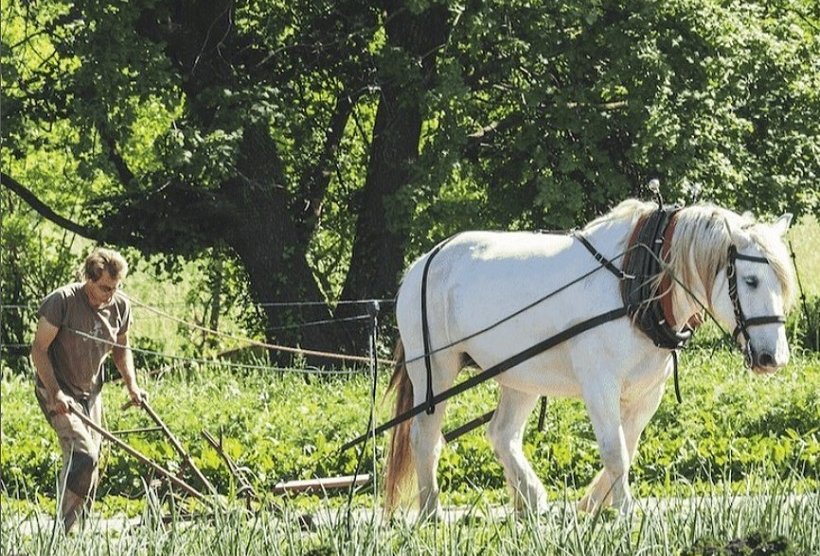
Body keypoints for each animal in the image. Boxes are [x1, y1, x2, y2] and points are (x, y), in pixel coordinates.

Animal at [384, 199, 796, 516]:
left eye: (782, 282)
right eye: (751, 281)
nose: (772, 357)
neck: (635, 284)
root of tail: (422, 263)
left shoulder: (649, 392)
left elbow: (628, 445)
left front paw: (593, 503)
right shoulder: (600, 386)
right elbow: (615, 451)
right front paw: (625, 511)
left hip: (521, 375)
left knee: (502, 434)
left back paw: (530, 499)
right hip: (434, 370)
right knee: (425, 437)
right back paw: (431, 510)